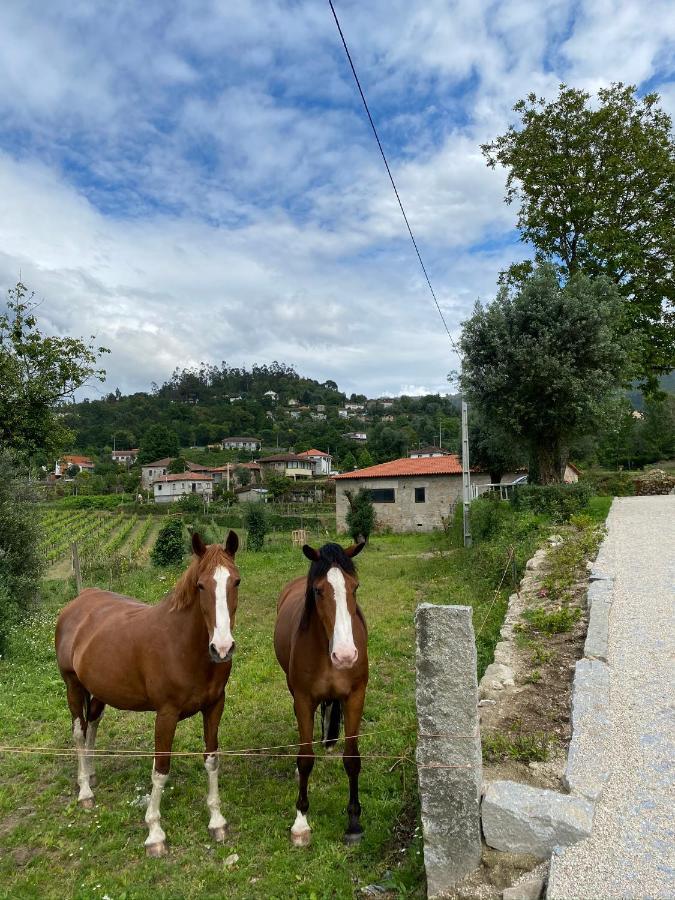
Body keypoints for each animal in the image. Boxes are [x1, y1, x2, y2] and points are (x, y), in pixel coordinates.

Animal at [55, 532, 240, 856]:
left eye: (236, 582)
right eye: (201, 585)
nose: (222, 648)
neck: (183, 645)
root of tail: (78, 602)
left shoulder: (215, 705)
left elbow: (211, 759)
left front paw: (217, 821)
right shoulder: (166, 714)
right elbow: (160, 769)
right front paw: (155, 833)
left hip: (99, 690)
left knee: (92, 725)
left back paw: (91, 774)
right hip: (73, 685)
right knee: (79, 732)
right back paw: (85, 791)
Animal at [274, 540, 370, 844]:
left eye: (354, 587)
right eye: (318, 590)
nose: (345, 655)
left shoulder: (355, 697)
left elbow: (352, 758)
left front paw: (354, 822)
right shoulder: (304, 700)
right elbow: (305, 759)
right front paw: (301, 821)